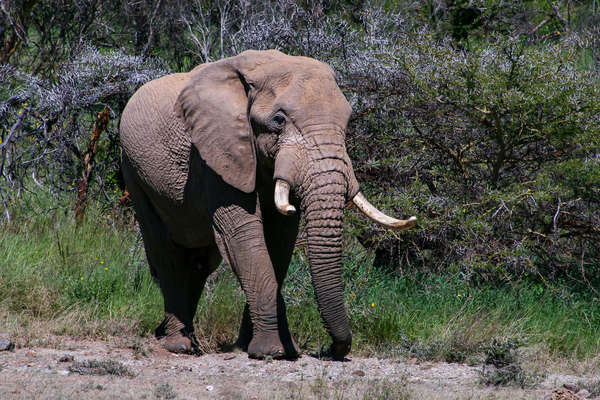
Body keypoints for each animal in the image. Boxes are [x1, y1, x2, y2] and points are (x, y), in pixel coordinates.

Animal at [119, 48, 414, 360]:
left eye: (347, 122)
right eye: (279, 120)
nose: (334, 349)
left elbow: (279, 239)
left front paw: (264, 347)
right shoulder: (214, 153)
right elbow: (244, 236)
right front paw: (270, 351)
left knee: (200, 262)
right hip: (135, 172)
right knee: (167, 254)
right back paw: (179, 345)